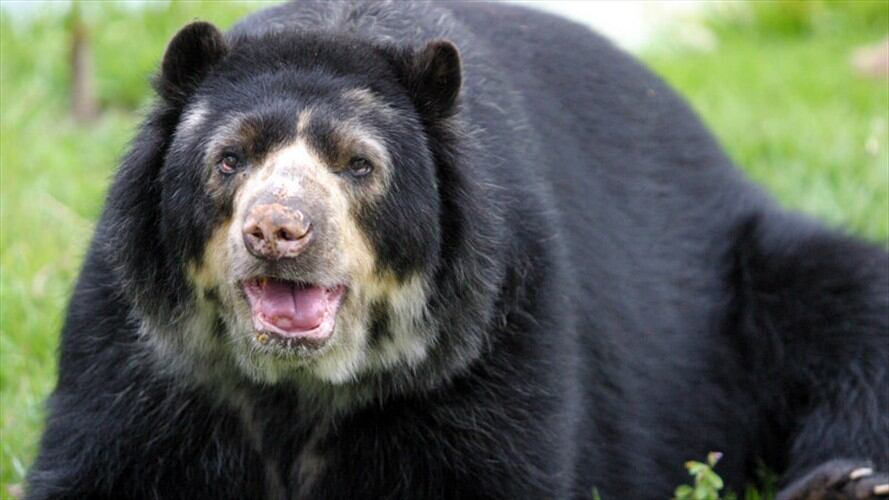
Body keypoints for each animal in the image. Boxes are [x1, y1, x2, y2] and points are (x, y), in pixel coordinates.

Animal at [25, 1, 888, 499]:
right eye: (229, 159)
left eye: (358, 165)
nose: (277, 230)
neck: (294, 389)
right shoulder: (137, 344)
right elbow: (98, 462)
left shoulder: (491, 337)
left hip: (750, 277)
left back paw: (843, 483)